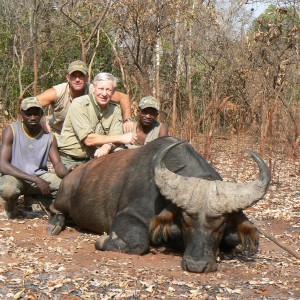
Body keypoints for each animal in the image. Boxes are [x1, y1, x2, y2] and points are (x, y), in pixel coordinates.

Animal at [48, 137, 270, 274]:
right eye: (185, 220)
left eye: (221, 225)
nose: (196, 265)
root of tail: (74, 174)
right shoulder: (127, 216)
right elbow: (139, 241)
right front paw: (103, 241)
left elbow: (232, 240)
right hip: (63, 197)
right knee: (56, 209)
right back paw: (55, 224)